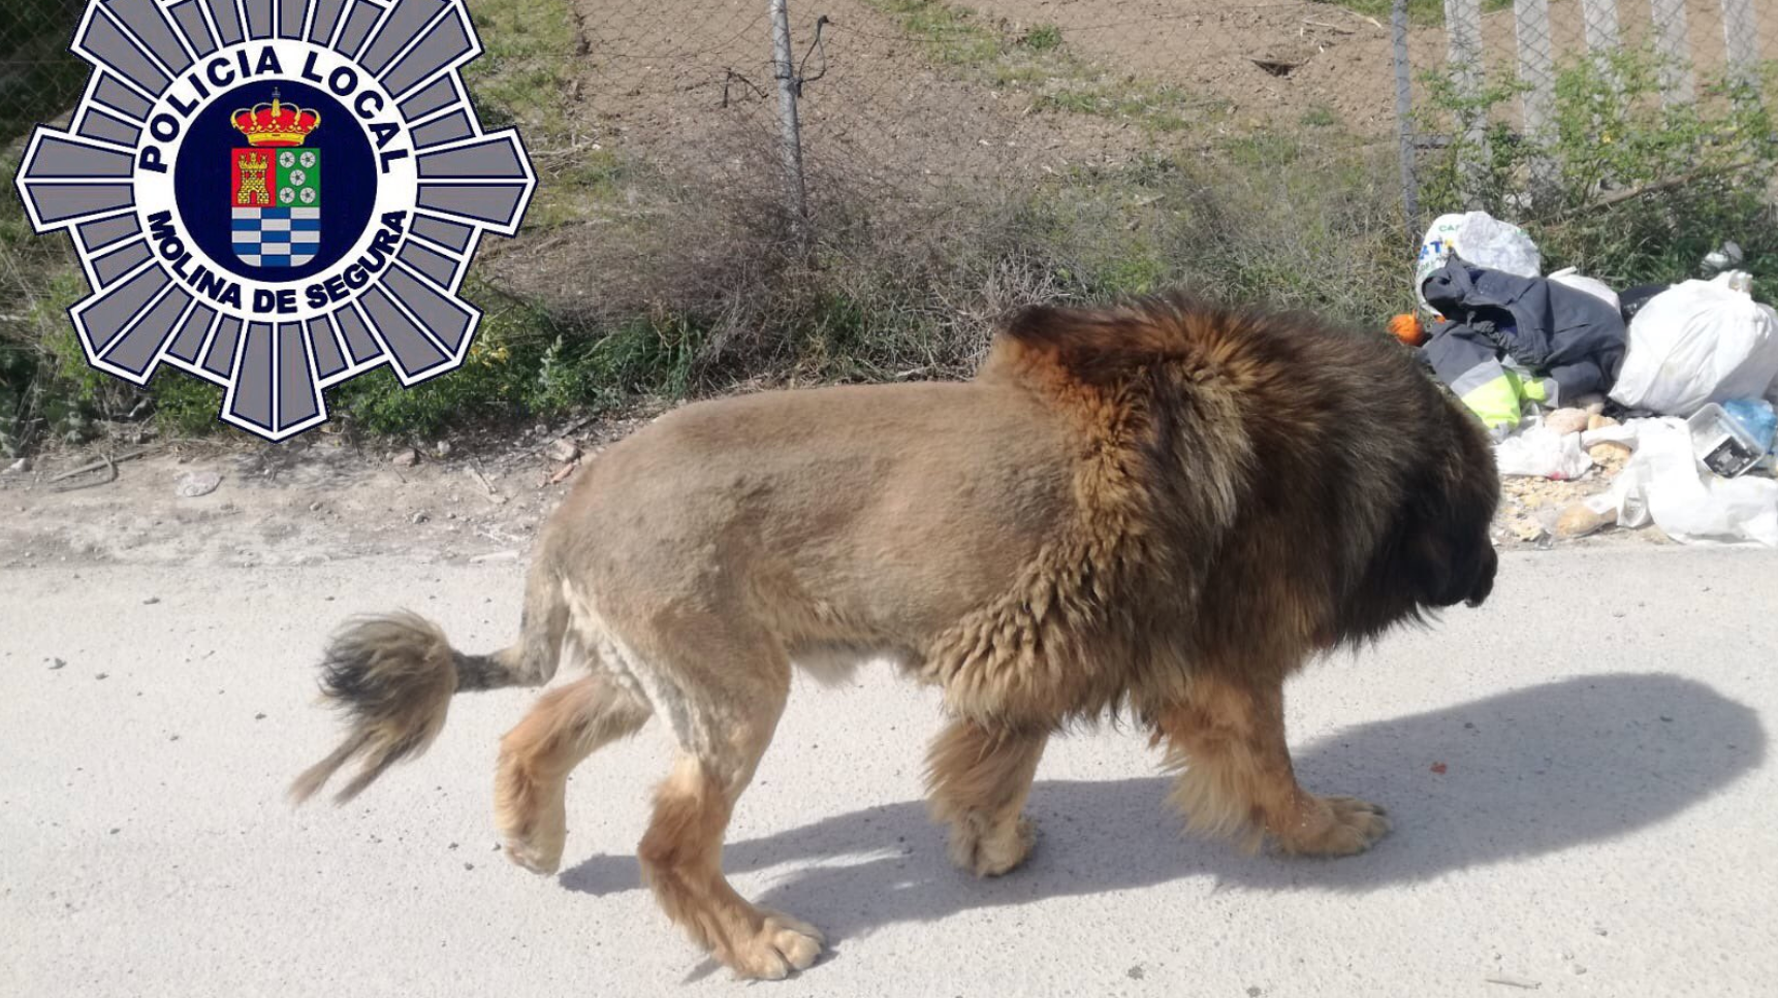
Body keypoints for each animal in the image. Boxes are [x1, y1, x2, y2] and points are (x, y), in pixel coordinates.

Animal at [289, 293, 1500, 979]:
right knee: (667, 845)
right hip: (733, 694)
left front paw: (989, 845)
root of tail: (571, 501)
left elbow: (995, 760)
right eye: (1484, 511)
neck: (1320, 444)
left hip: (656, 677)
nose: (1492, 577)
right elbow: (1268, 768)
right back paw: (759, 944)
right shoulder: (1221, 665)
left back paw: (530, 839)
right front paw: (1325, 829)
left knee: (531, 730)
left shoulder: (1047, 647)